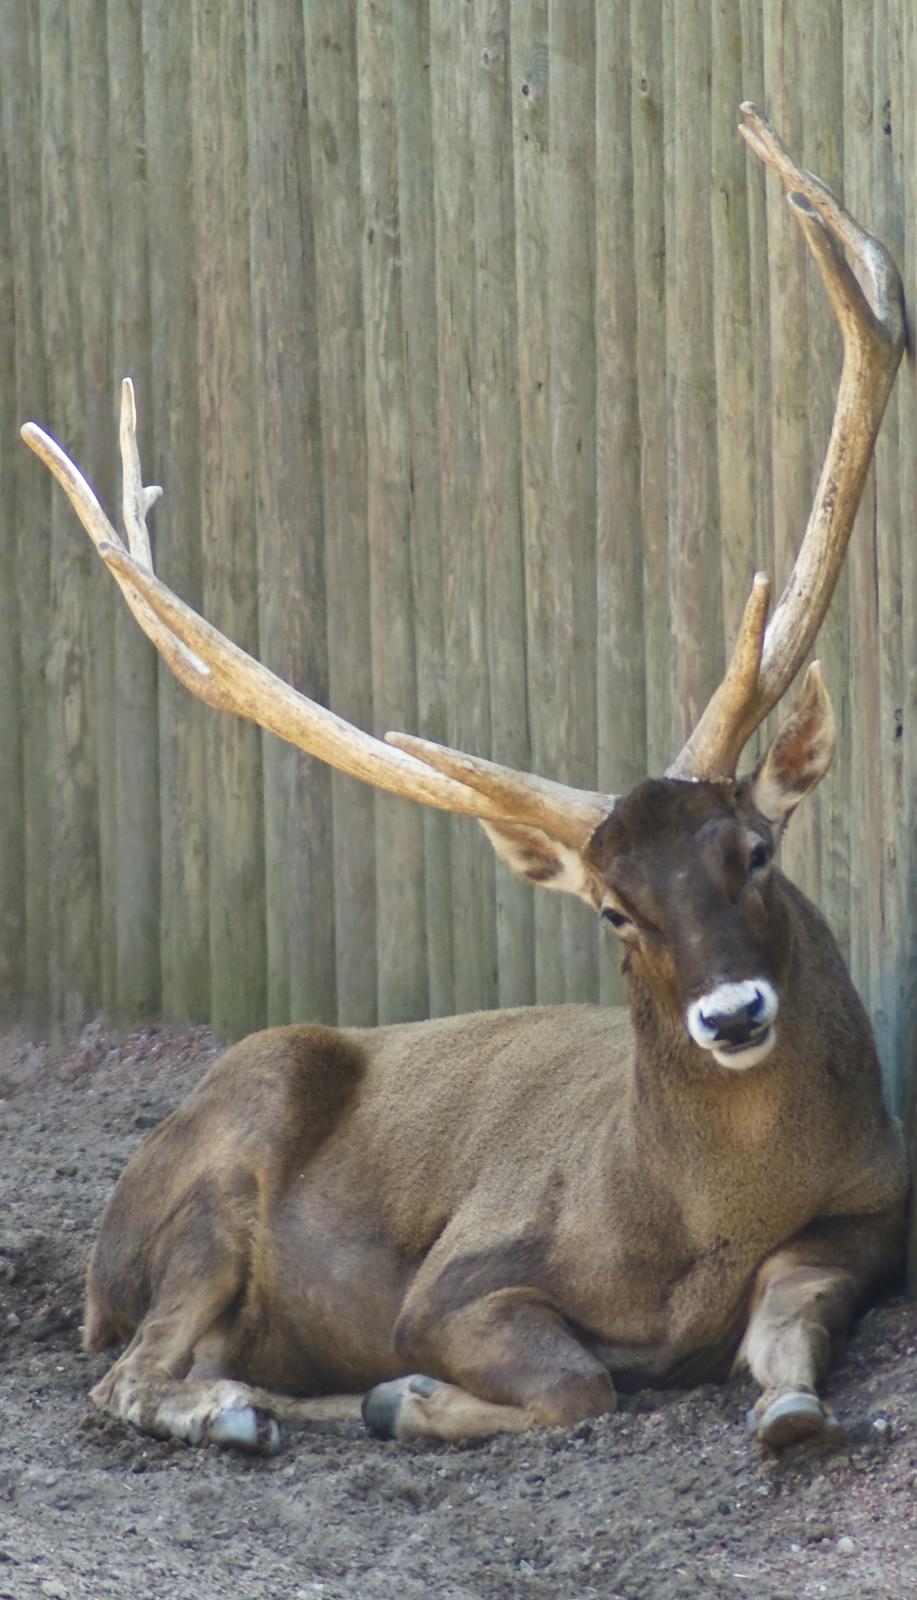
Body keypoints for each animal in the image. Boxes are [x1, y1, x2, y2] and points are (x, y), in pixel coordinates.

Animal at [23, 100, 908, 1459]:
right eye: (612, 910)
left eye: (752, 851)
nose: (731, 1012)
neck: (699, 1227)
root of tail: (87, 1272)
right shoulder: (457, 1276)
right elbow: (574, 1381)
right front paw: (415, 1392)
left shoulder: (871, 1212)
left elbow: (787, 1330)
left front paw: (793, 1406)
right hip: (222, 1164)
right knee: (128, 1374)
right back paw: (254, 1411)